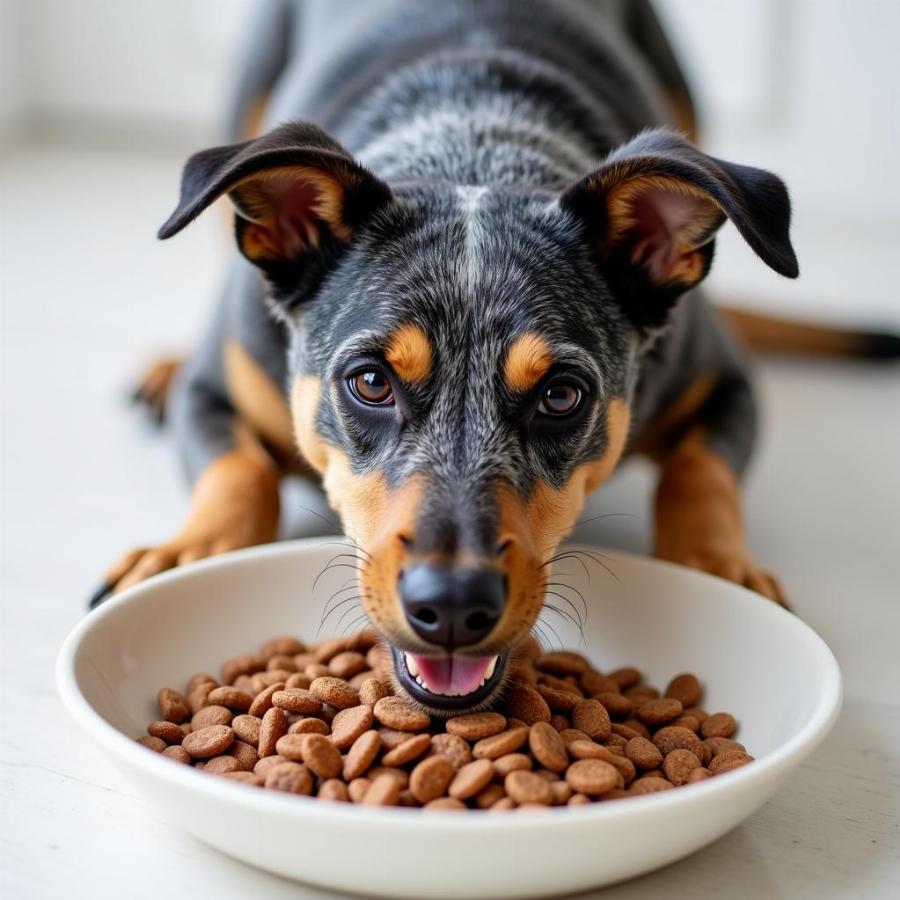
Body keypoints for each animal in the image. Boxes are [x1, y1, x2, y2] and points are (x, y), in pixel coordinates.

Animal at [89, 1, 800, 716]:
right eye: (371, 382)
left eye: (561, 395)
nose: (454, 606)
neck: (474, 149)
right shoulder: (217, 385)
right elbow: (240, 472)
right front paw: (189, 553)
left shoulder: (724, 384)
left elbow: (700, 473)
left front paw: (716, 570)